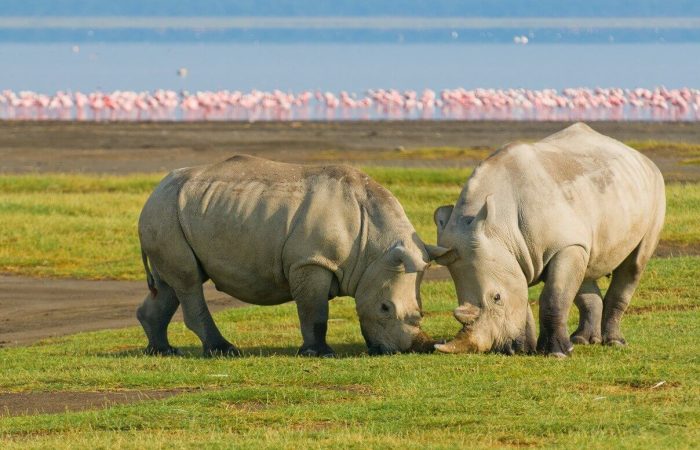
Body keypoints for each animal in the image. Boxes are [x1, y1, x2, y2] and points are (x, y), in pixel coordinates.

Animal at [137, 155, 446, 357]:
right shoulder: (311, 260)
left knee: (171, 283)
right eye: (385, 308)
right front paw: (318, 353)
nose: (412, 348)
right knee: (188, 281)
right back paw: (223, 351)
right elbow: (314, 310)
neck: (375, 246)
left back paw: (163, 351)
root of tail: (154, 191)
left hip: (173, 213)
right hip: (165, 212)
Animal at [432, 123, 666, 357]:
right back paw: (582, 340)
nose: (505, 350)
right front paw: (527, 349)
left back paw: (614, 342)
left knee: (634, 265)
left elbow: (554, 296)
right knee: (586, 267)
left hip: (655, 187)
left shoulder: (563, 245)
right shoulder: (513, 255)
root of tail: (639, 156)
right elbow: (523, 295)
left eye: (496, 297)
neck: (499, 227)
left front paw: (556, 353)